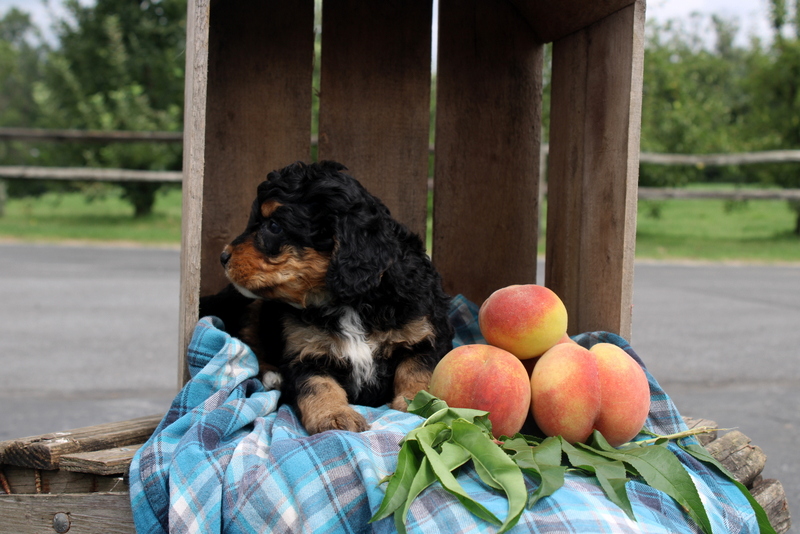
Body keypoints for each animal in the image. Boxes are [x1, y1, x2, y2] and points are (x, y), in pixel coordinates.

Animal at [198, 162, 454, 436]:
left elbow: (418, 369)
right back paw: (272, 376)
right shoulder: (305, 349)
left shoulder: (422, 330)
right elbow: (318, 384)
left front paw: (420, 401)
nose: (223, 257)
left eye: (274, 226)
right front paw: (334, 415)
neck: (348, 301)